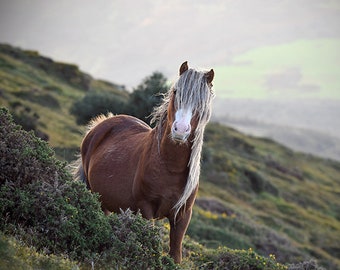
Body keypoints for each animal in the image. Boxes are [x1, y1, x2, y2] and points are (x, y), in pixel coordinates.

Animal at [73, 61, 214, 264]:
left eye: (202, 101)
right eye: (176, 92)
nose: (180, 130)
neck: (169, 167)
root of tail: (103, 122)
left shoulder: (182, 215)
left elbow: (175, 253)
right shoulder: (145, 209)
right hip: (94, 194)